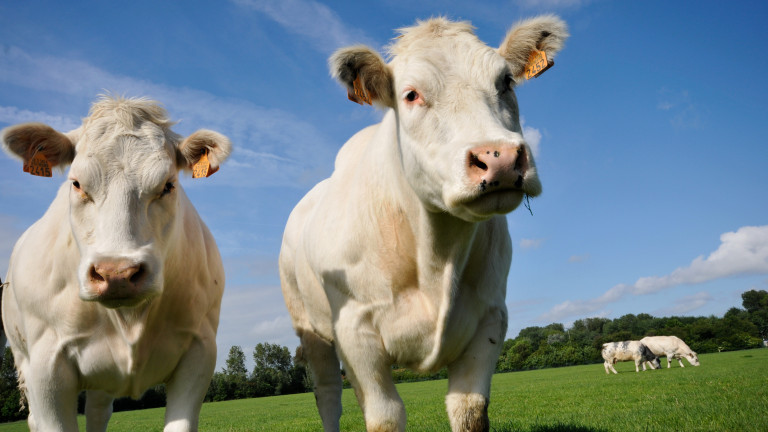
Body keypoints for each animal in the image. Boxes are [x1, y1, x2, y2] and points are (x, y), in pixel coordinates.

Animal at [1, 95, 231, 432]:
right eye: (76, 183)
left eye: (168, 185)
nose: (117, 273)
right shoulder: (46, 365)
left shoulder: (200, 352)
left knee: (98, 411)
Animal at [279, 16, 568, 432]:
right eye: (411, 94)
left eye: (506, 82)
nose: (498, 158)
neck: (437, 255)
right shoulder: (355, 331)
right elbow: (384, 416)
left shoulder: (491, 318)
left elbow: (469, 409)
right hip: (310, 326)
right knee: (328, 394)